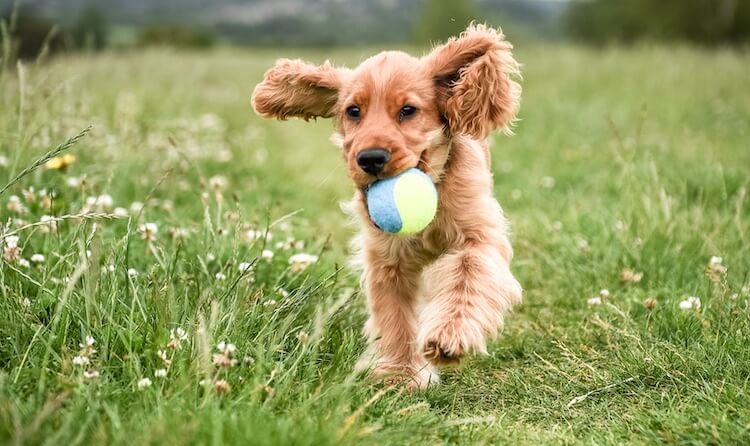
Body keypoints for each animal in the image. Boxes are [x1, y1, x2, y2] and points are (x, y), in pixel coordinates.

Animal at [253, 24, 524, 388]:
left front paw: (448, 337)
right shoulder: (386, 257)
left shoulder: (478, 236)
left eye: (408, 110)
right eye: (353, 111)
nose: (370, 159)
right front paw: (400, 373)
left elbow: (468, 276)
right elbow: (393, 314)